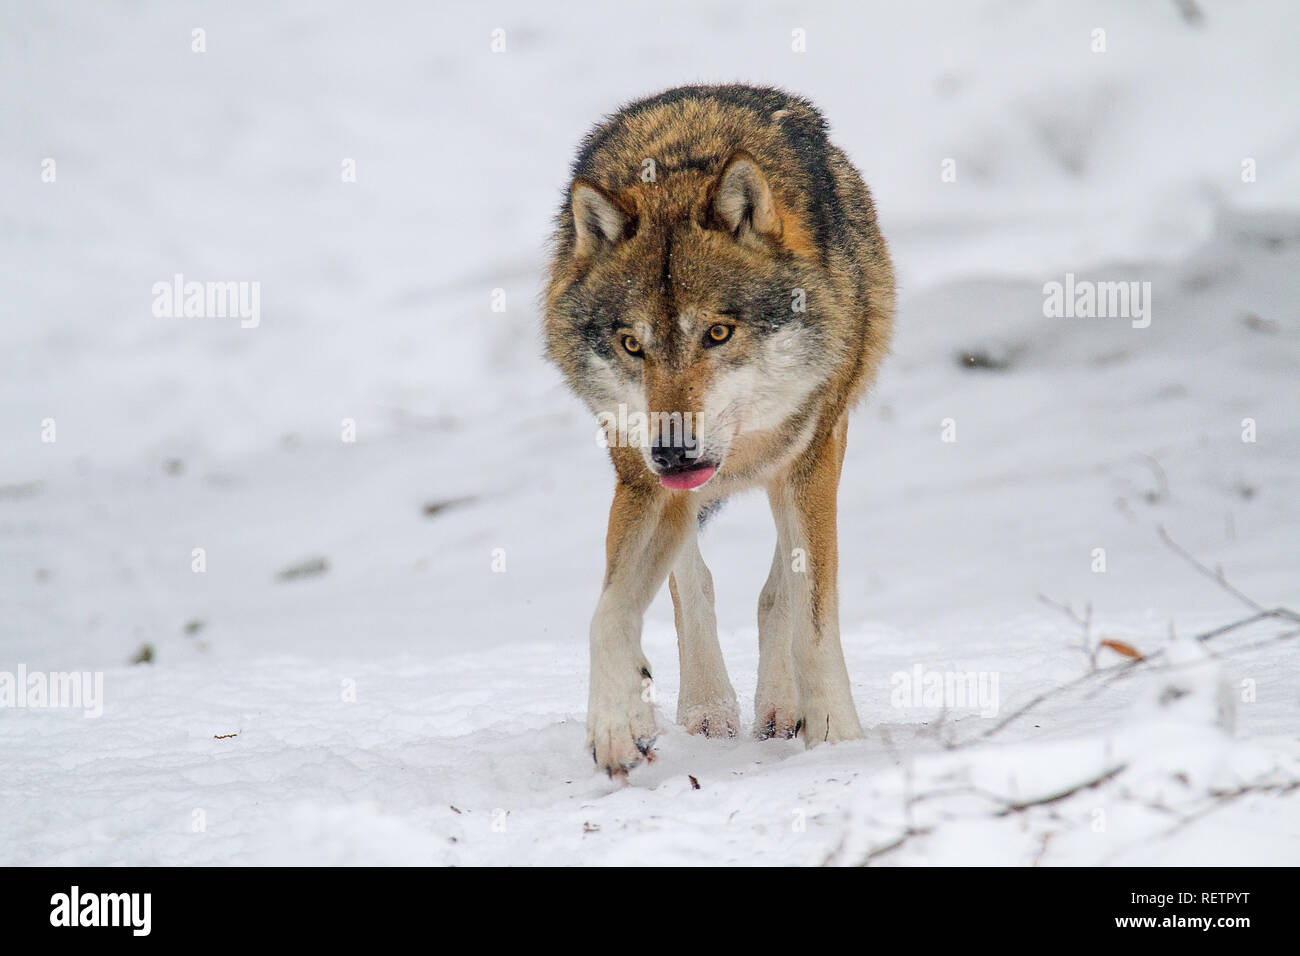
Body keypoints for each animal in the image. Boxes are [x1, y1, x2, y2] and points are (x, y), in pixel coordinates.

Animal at [540, 83, 894, 780]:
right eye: (632, 345)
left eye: (719, 332)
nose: (673, 449)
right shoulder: (646, 481)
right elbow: (608, 614)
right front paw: (617, 723)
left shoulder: (811, 455)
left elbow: (812, 618)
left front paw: (837, 739)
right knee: (694, 584)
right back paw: (709, 710)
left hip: (813, 451)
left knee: (778, 591)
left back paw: (782, 708)